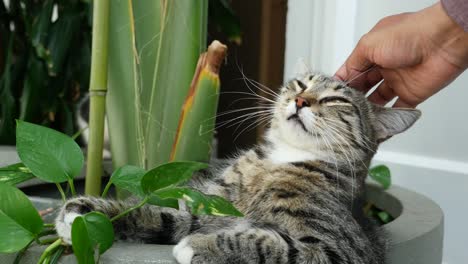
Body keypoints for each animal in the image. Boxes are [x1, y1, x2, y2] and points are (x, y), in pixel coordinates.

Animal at [54, 72, 420, 264]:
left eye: (335, 99)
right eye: (301, 84)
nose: (300, 100)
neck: (281, 160)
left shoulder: (338, 252)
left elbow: (275, 245)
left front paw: (201, 246)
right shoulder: (213, 206)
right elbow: (162, 215)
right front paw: (90, 212)